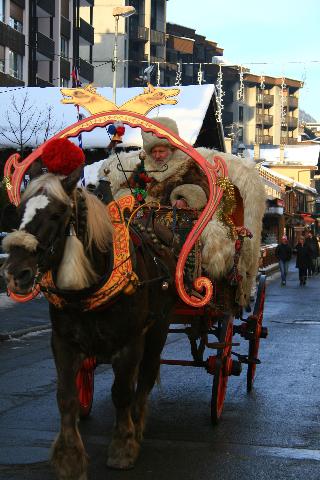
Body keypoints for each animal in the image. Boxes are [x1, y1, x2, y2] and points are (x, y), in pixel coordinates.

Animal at [1, 166, 176, 480]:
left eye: (57, 214)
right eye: (18, 211)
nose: (15, 274)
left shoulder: (130, 342)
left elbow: (121, 393)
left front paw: (123, 446)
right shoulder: (63, 342)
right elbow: (66, 397)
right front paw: (69, 458)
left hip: (158, 330)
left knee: (146, 375)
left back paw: (137, 424)